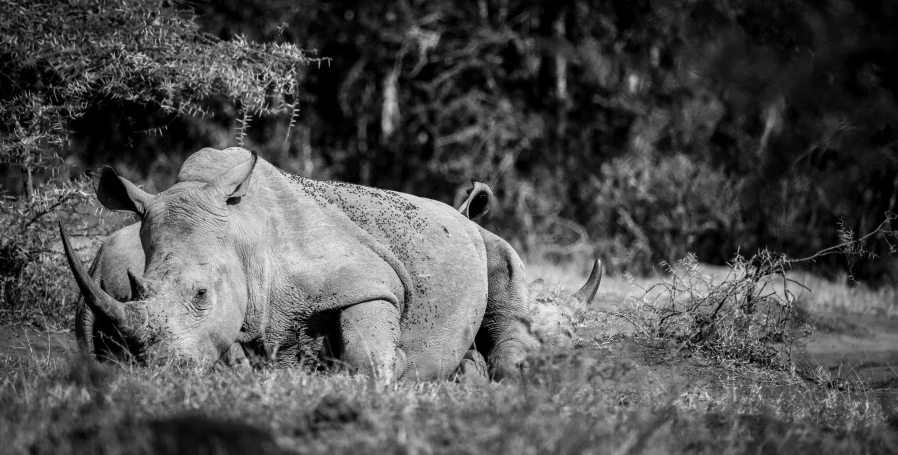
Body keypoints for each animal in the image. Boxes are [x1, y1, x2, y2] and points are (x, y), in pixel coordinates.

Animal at [65, 149, 600, 382]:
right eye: (136, 288)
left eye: (201, 295)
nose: (160, 369)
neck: (245, 234)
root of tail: (461, 215)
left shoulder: (371, 279)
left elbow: (370, 352)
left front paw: (394, 369)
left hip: (483, 241)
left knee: (503, 267)